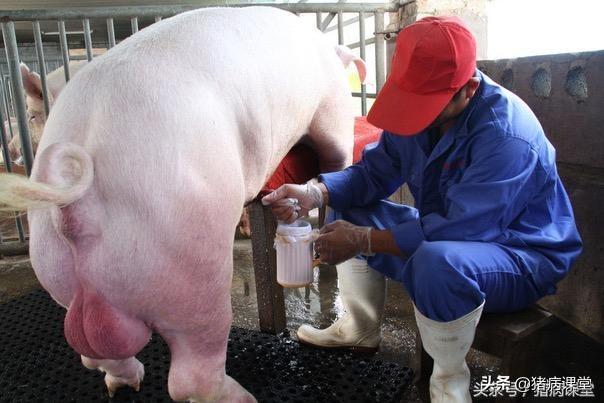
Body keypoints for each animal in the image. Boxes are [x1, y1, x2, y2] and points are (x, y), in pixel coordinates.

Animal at [0, 7, 366, 403]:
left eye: (30, 115)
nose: (16, 153)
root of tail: (79, 212)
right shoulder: (331, 102)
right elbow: (336, 152)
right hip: (193, 266)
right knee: (191, 375)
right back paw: (242, 396)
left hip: (55, 267)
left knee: (95, 352)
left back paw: (126, 382)